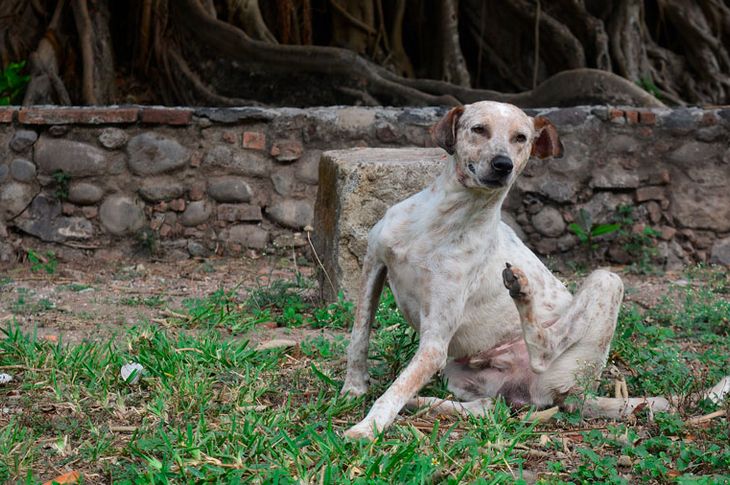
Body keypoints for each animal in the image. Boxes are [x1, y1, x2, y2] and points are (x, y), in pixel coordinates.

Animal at [342, 101, 728, 438]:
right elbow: (359, 336)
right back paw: (424, 403)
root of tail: (578, 392)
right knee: (486, 408)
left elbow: (394, 390)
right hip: (460, 375)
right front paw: (353, 388)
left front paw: (367, 428)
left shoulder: (435, 343)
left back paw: (522, 292)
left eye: (521, 137)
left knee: (544, 349)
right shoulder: (373, 264)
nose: (502, 165)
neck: (444, 220)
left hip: (606, 281)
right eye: (479, 129)